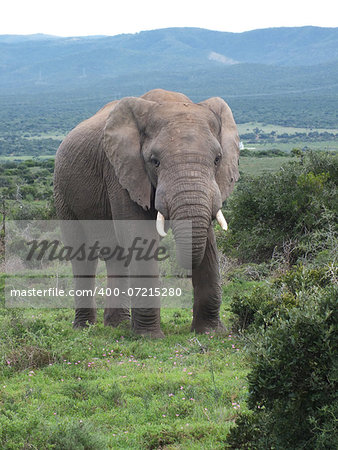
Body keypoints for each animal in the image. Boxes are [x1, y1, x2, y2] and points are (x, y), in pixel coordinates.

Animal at [54, 88, 240, 336]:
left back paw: (118, 325)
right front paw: (148, 337)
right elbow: (138, 236)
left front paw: (210, 333)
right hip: (62, 192)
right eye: (155, 161)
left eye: (217, 159)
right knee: (82, 256)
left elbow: (208, 241)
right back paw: (85, 328)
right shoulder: (119, 172)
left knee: (116, 255)